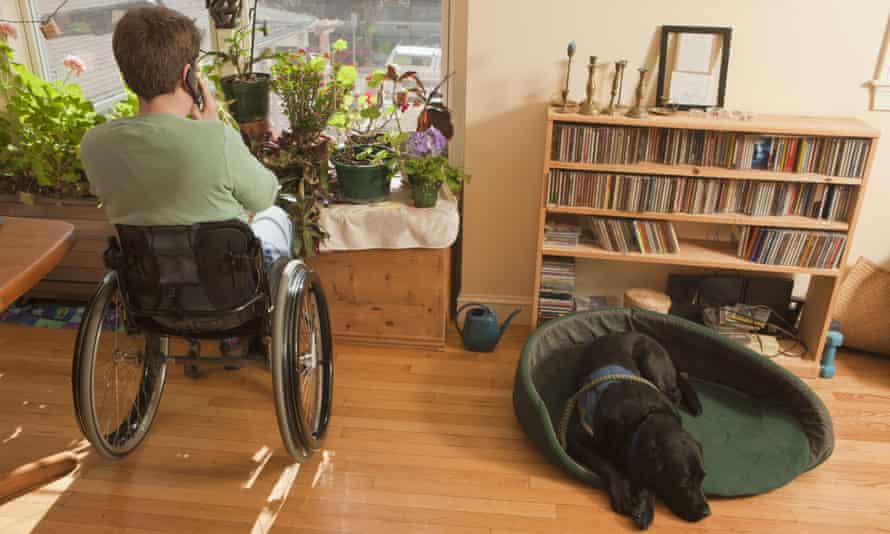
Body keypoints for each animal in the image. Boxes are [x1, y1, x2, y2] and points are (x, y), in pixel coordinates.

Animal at [568, 332, 708, 528]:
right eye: (684, 482)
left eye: (704, 477)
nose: (706, 512)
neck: (647, 417)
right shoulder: (575, 438)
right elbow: (607, 464)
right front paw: (622, 493)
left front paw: (645, 506)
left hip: (653, 366)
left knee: (675, 391)